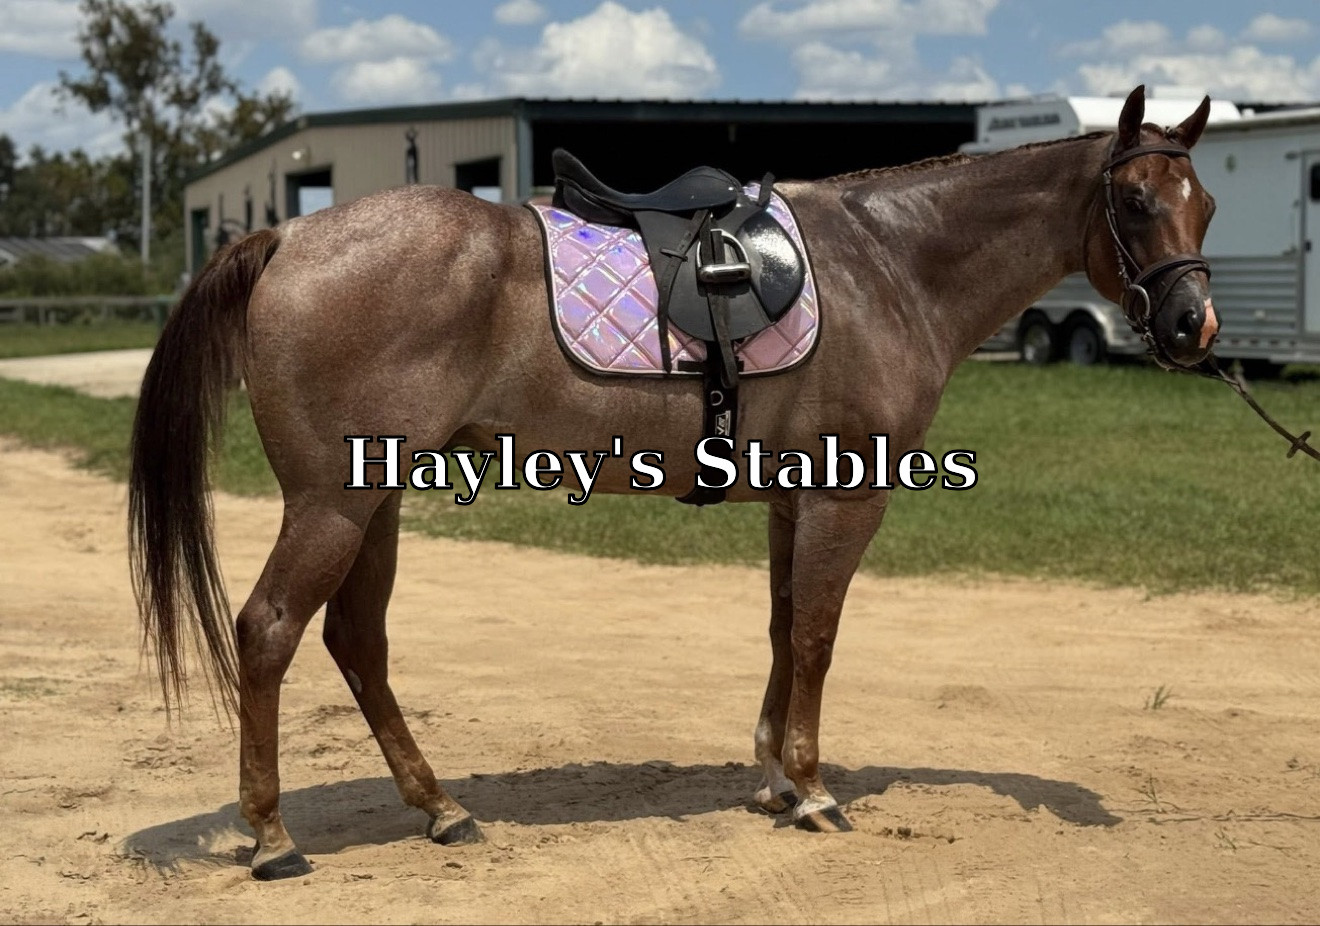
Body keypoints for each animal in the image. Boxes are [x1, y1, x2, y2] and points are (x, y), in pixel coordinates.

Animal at [129, 85, 1219, 880]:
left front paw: (773, 777)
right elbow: (818, 638)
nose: (1191, 326)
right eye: (1133, 202)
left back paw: (441, 809)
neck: (890, 263)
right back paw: (273, 837)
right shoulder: (846, 497)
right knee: (269, 630)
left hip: (376, 500)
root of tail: (287, 237)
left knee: (357, 642)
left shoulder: (794, 497)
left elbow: (782, 629)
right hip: (334, 504)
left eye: (1202, 203)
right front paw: (814, 788)